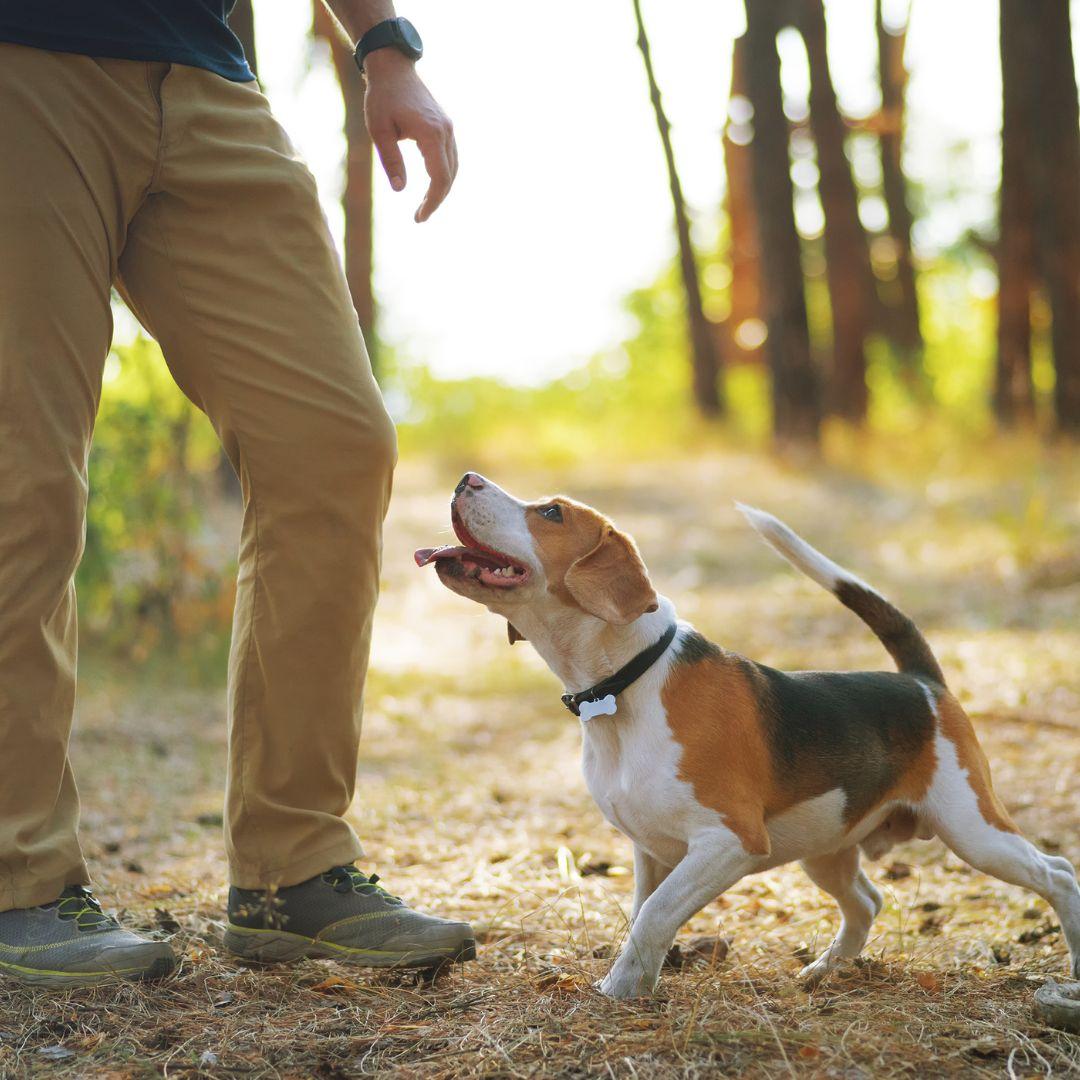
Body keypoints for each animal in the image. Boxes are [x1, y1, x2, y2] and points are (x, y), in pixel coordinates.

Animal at [412, 477, 1080, 997]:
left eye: (550, 513)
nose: (466, 478)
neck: (628, 683)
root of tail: (921, 682)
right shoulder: (652, 850)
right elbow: (644, 913)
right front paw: (638, 980)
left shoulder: (729, 841)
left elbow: (655, 915)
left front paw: (620, 991)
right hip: (826, 846)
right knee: (866, 903)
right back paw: (822, 972)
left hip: (972, 828)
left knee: (1057, 873)